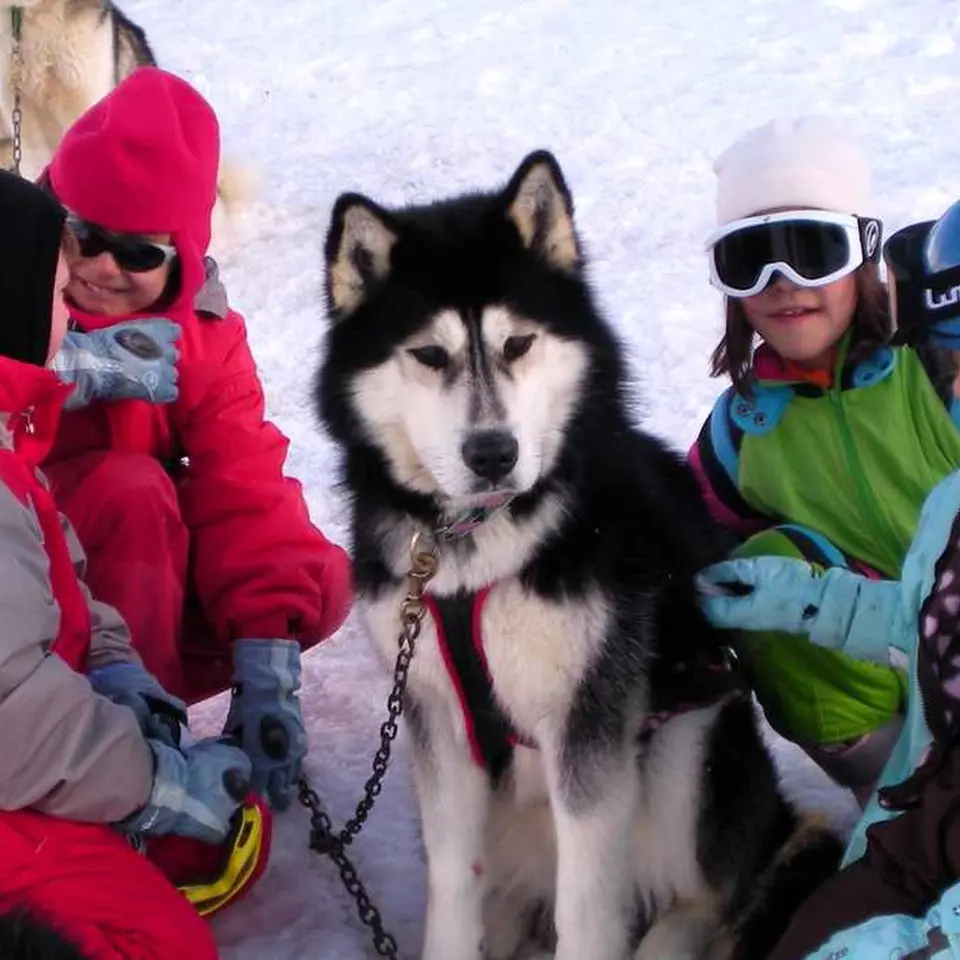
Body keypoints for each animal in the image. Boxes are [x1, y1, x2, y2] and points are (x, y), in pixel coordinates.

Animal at [316, 152, 840, 960]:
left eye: (518, 345)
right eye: (430, 355)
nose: (493, 453)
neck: (477, 549)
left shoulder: (588, 722)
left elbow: (589, 909)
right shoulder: (436, 718)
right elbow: (453, 885)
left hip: (686, 740)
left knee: (708, 890)